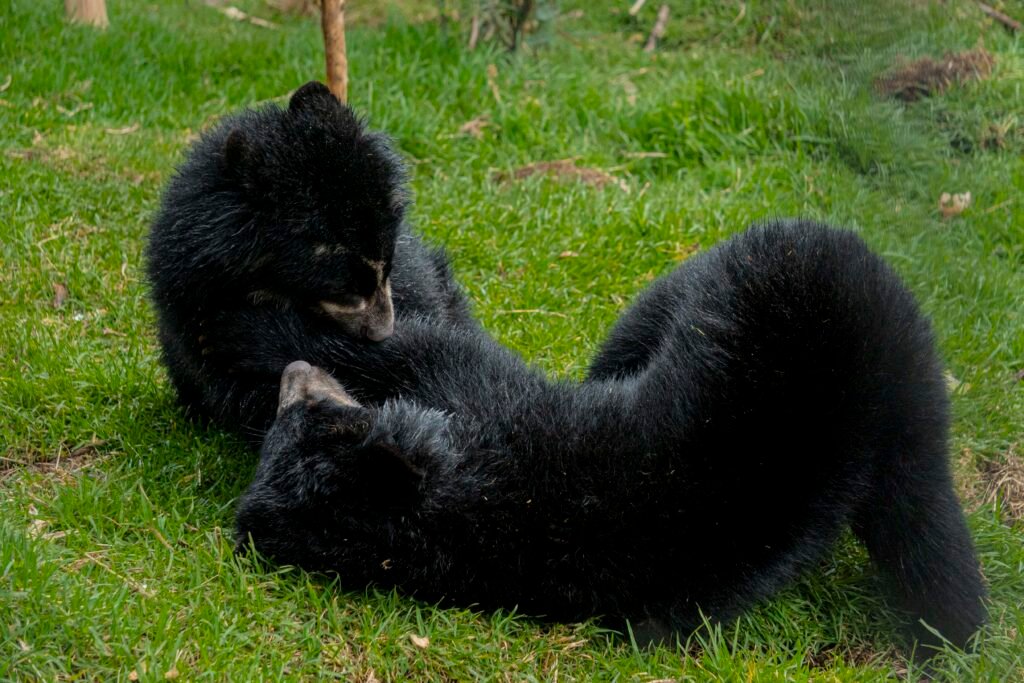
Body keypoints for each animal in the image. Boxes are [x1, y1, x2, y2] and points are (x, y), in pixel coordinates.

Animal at [224, 220, 987, 657]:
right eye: (301, 416)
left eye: (324, 418)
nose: (295, 378)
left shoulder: (485, 405)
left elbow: (424, 346)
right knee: (927, 521)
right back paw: (954, 633)